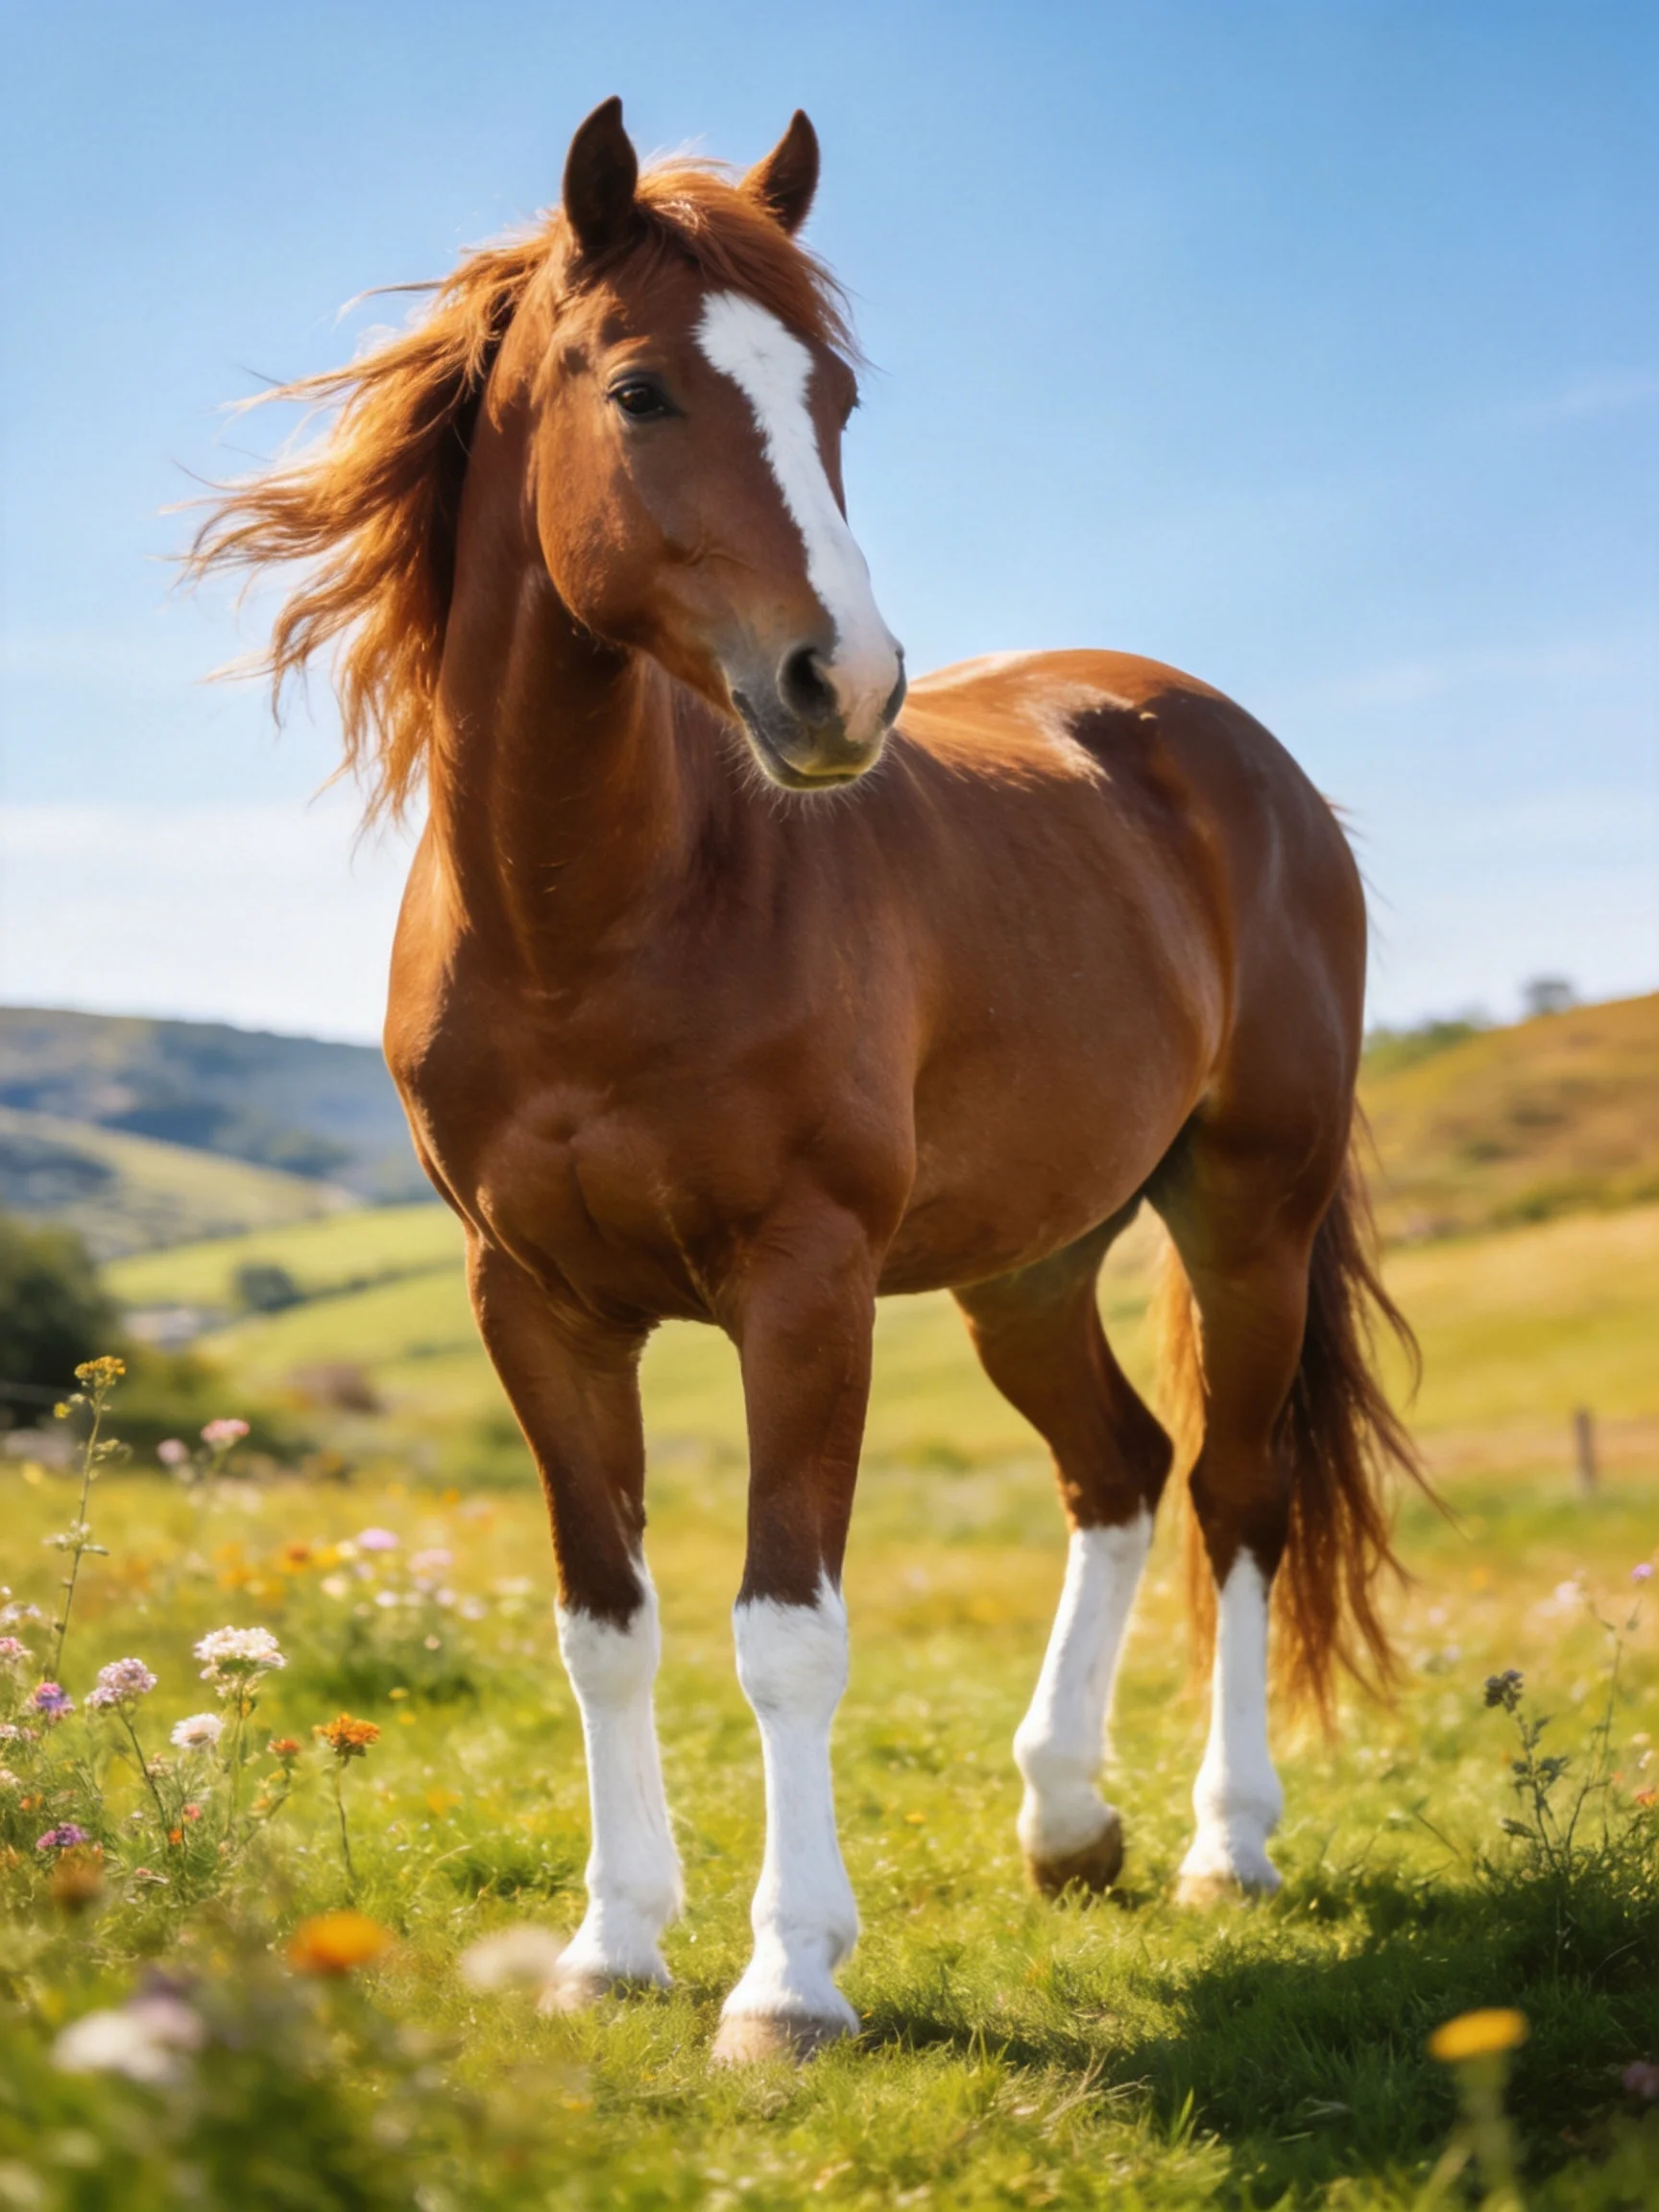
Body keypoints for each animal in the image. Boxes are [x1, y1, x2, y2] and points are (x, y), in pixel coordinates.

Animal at [191, 97, 1421, 2063]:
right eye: (639, 391)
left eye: (832, 396)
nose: (843, 685)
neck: (594, 920)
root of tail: (1227, 750)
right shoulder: (531, 1304)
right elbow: (603, 1623)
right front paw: (611, 1946)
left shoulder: (806, 1284)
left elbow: (786, 1629)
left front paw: (786, 1982)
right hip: (1028, 1267)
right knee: (1120, 1471)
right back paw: (1064, 1821)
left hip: (1249, 1216)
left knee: (1239, 1497)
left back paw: (1227, 1843)